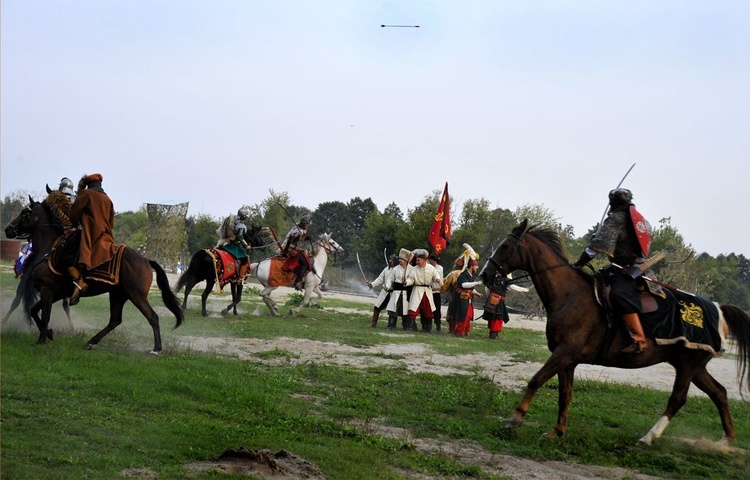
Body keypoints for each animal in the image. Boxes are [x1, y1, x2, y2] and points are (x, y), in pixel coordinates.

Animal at [4, 197, 185, 354]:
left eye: (25, 213)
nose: (8, 229)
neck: (49, 251)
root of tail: (146, 260)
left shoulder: (47, 290)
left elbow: (45, 315)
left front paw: (41, 340)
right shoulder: (55, 293)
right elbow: (34, 311)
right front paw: (48, 333)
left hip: (136, 295)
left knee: (152, 317)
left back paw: (156, 348)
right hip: (118, 295)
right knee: (115, 320)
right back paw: (91, 341)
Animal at [482, 219, 750, 444]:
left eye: (505, 246)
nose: (485, 275)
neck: (569, 294)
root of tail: (718, 309)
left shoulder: (564, 353)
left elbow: (536, 379)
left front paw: (516, 417)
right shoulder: (568, 360)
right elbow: (565, 394)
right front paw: (557, 431)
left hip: (688, 364)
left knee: (678, 398)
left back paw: (649, 437)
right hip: (694, 366)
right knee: (719, 393)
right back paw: (725, 440)